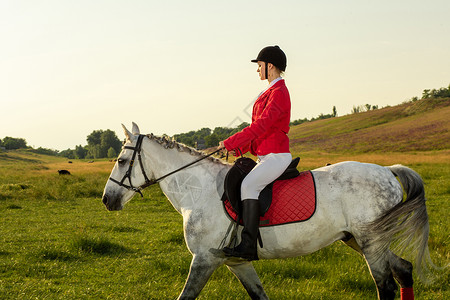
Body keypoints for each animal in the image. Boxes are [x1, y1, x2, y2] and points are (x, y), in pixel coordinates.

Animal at [101, 122, 432, 300]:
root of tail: (387, 170)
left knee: (386, 285)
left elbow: (186, 296)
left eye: (120, 161)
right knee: (403, 269)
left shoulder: (204, 259)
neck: (197, 189)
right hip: (360, 240)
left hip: (370, 242)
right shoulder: (236, 262)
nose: (107, 200)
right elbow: (259, 294)